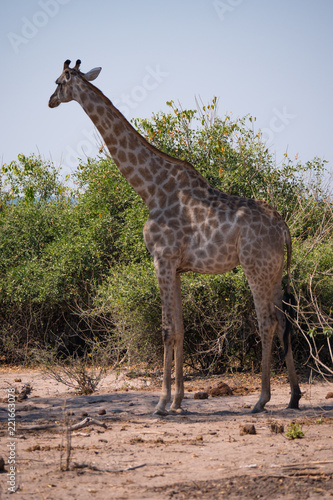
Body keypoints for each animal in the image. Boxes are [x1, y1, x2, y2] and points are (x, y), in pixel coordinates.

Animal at [48, 60, 300, 416]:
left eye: (59, 82)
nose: (50, 101)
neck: (150, 190)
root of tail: (283, 227)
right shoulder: (178, 267)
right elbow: (180, 328)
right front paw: (179, 400)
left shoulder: (162, 259)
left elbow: (167, 329)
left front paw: (161, 403)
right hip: (275, 272)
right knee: (284, 320)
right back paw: (293, 396)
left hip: (256, 268)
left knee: (267, 322)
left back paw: (261, 400)